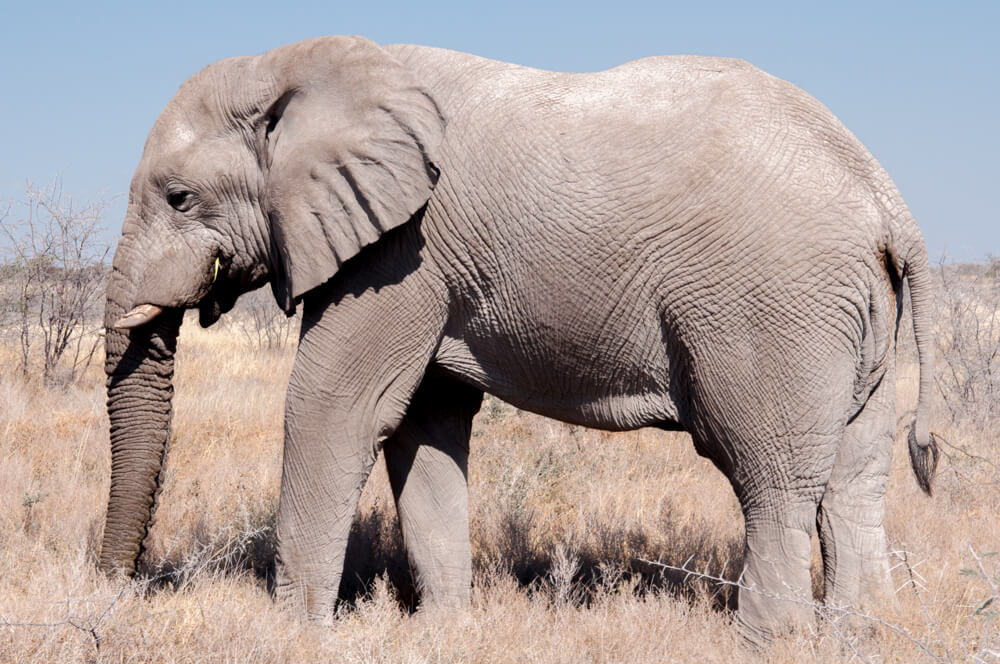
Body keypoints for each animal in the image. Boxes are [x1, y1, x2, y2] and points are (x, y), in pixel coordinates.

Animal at [101, 33, 936, 640]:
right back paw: (859, 638)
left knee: (773, 480)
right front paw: (444, 631)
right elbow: (425, 425)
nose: (116, 589)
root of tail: (885, 199)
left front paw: (293, 637)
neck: (302, 65)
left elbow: (336, 407)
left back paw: (764, 644)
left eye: (179, 198)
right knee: (855, 479)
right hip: (851, 317)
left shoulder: (402, 252)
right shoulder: (423, 263)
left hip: (772, 310)